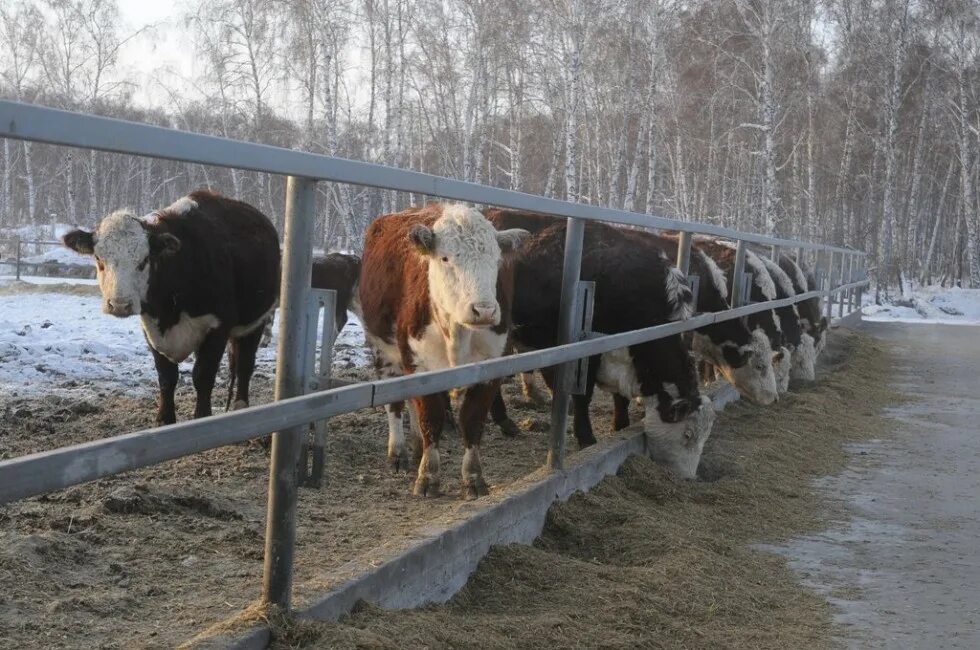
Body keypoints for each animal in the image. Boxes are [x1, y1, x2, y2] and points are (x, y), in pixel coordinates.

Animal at [62, 191, 280, 426]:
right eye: (99, 258)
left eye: (144, 260)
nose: (120, 304)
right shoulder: (152, 330)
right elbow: (166, 378)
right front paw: (164, 419)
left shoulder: (218, 327)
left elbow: (203, 376)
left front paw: (201, 416)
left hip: (257, 321)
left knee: (245, 365)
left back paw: (241, 405)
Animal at [358, 202, 528, 496]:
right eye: (446, 258)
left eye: (495, 260)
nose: (484, 310)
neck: (457, 333)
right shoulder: (421, 366)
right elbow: (431, 419)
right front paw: (428, 477)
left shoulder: (491, 368)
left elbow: (472, 422)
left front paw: (473, 477)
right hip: (384, 352)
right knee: (396, 404)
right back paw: (398, 454)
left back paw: (416, 448)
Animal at [502, 218, 716, 476]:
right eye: (687, 435)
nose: (688, 476)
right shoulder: (587, 353)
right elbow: (584, 397)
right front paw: (587, 439)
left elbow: (620, 398)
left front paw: (620, 426)